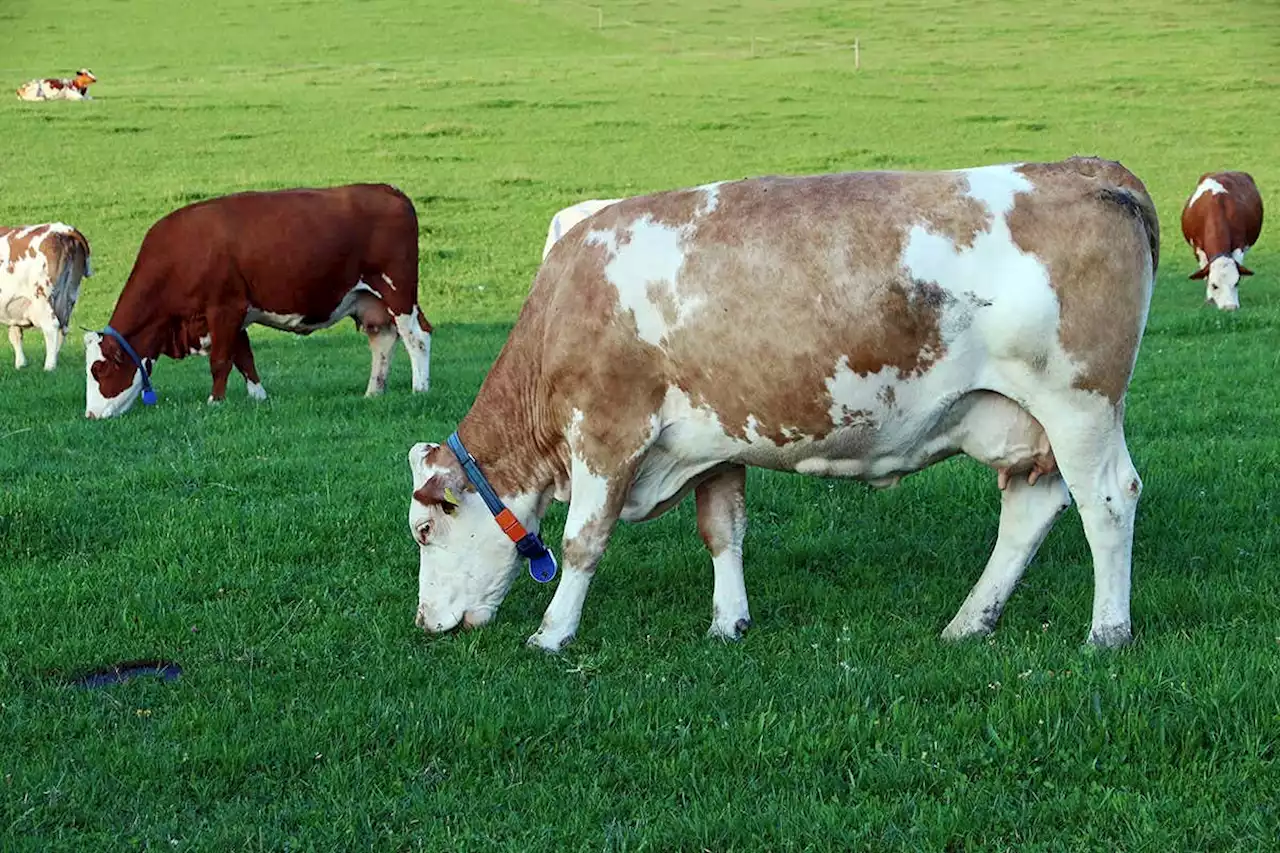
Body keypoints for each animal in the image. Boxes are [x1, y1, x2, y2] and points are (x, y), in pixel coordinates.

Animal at [0, 224, 92, 371]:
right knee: (62, 328)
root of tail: (62, 229)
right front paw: (21, 365)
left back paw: (49, 367)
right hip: (69, 294)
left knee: (51, 326)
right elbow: (15, 334)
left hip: (42, 297)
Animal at [86, 184, 435, 417]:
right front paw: (258, 396)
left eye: (99, 371)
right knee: (383, 339)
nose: (91, 415)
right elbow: (244, 357)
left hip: (398, 291)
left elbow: (221, 360)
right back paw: (374, 392)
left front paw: (215, 402)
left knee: (417, 337)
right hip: (369, 301)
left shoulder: (225, 308)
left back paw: (420, 388)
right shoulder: (236, 312)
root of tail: (389, 191)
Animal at [409, 156, 1162, 648]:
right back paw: (967, 623)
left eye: (423, 530)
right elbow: (722, 529)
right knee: (1031, 509)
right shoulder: (710, 438)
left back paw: (1106, 631)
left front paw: (552, 633)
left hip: (1079, 402)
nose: (423, 622)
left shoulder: (606, 429)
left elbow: (582, 541)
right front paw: (727, 623)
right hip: (1031, 420)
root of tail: (1089, 168)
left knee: (1108, 499)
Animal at [1182, 169, 1264, 308]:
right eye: (1214, 285)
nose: (1230, 308)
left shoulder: (1239, 246)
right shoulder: (1198, 248)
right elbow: (1205, 273)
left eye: (1236, 283)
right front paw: (1209, 299)